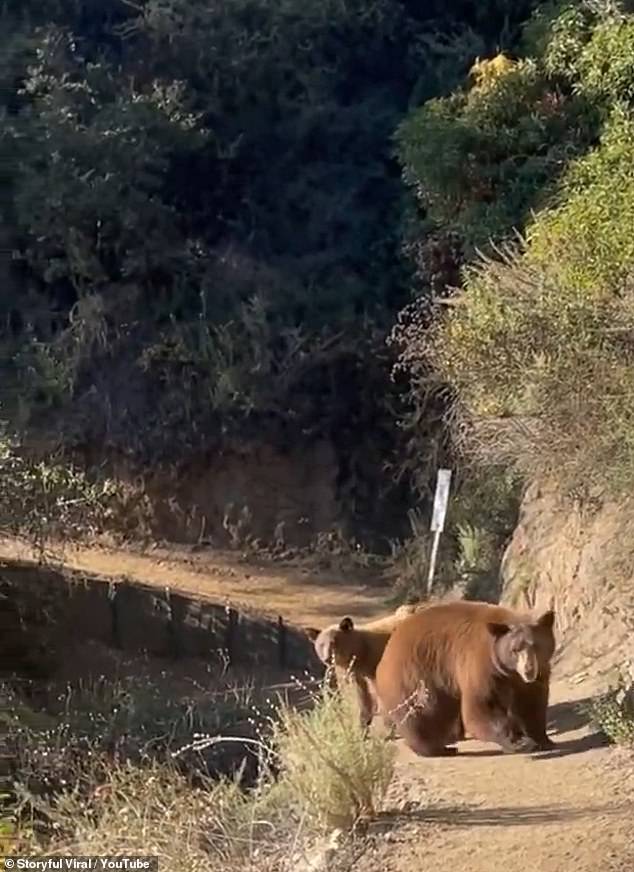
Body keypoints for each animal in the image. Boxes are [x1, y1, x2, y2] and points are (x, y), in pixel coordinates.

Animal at [372, 600, 556, 756]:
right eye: (515, 650)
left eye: (536, 645)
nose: (528, 670)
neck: (508, 672)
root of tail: (387, 651)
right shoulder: (483, 668)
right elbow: (482, 706)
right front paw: (519, 742)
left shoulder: (531, 679)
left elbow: (531, 705)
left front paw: (544, 740)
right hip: (415, 678)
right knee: (422, 715)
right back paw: (437, 749)